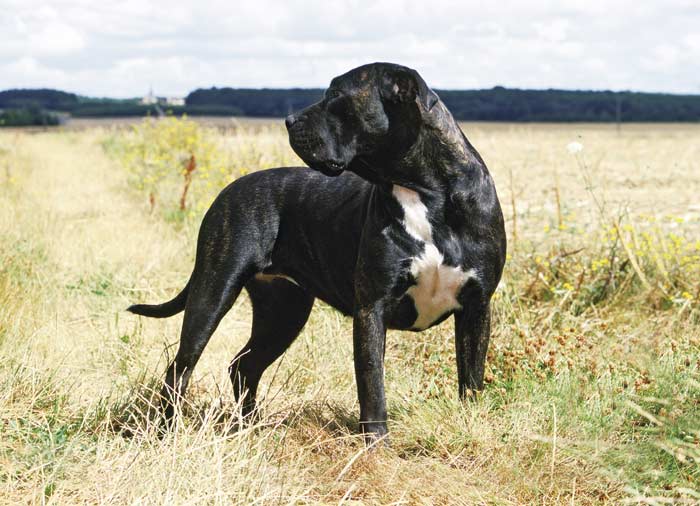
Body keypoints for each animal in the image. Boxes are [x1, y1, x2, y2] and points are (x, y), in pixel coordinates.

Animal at [129, 62, 506, 442]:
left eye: (336, 95)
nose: (289, 120)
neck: (424, 191)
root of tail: (229, 189)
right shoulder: (373, 307)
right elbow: (372, 382)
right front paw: (376, 443)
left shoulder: (476, 306)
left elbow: (471, 377)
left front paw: (469, 423)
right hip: (215, 289)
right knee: (181, 366)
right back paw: (166, 432)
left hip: (283, 311)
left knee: (244, 365)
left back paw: (250, 426)